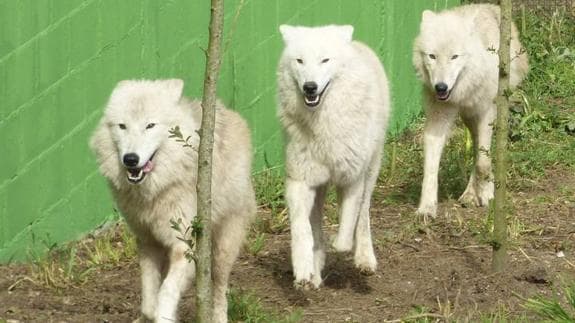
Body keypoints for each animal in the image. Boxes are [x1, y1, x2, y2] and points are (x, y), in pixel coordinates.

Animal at [89, 79, 255, 323]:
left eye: (150, 125)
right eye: (122, 126)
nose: (131, 159)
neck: (154, 191)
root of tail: (230, 112)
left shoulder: (182, 245)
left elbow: (166, 293)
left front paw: (165, 315)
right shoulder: (147, 242)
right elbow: (150, 302)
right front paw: (148, 315)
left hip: (223, 248)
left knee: (219, 289)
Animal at [278, 24, 392, 290]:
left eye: (324, 60)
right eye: (300, 61)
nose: (310, 87)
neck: (323, 125)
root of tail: (359, 45)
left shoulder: (352, 179)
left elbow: (346, 229)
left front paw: (339, 245)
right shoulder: (300, 181)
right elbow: (302, 229)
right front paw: (304, 269)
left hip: (371, 171)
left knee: (364, 216)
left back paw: (365, 259)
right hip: (319, 187)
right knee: (316, 225)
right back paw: (315, 271)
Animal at [414, 3, 532, 218]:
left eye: (454, 57)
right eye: (432, 56)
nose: (440, 87)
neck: (462, 91)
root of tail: (488, 6)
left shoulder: (486, 113)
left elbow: (483, 163)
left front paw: (485, 195)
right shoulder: (437, 118)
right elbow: (431, 168)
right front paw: (426, 207)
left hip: (492, 112)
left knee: (484, 153)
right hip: (469, 118)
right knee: (477, 146)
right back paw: (470, 193)